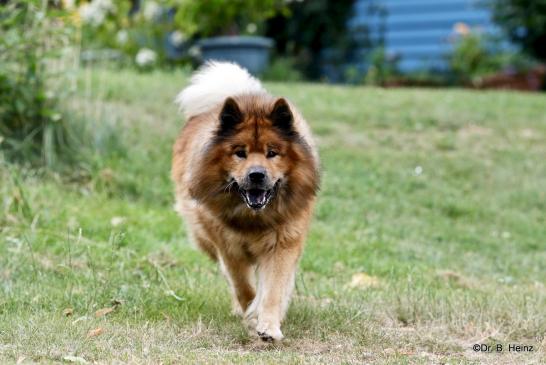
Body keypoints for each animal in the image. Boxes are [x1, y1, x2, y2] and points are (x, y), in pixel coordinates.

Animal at [171, 61, 318, 340]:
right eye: (240, 153)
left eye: (272, 153)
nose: (256, 175)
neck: (253, 218)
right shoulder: (228, 248)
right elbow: (242, 287)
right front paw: (251, 316)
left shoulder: (282, 244)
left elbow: (273, 290)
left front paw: (269, 325)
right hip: (203, 236)